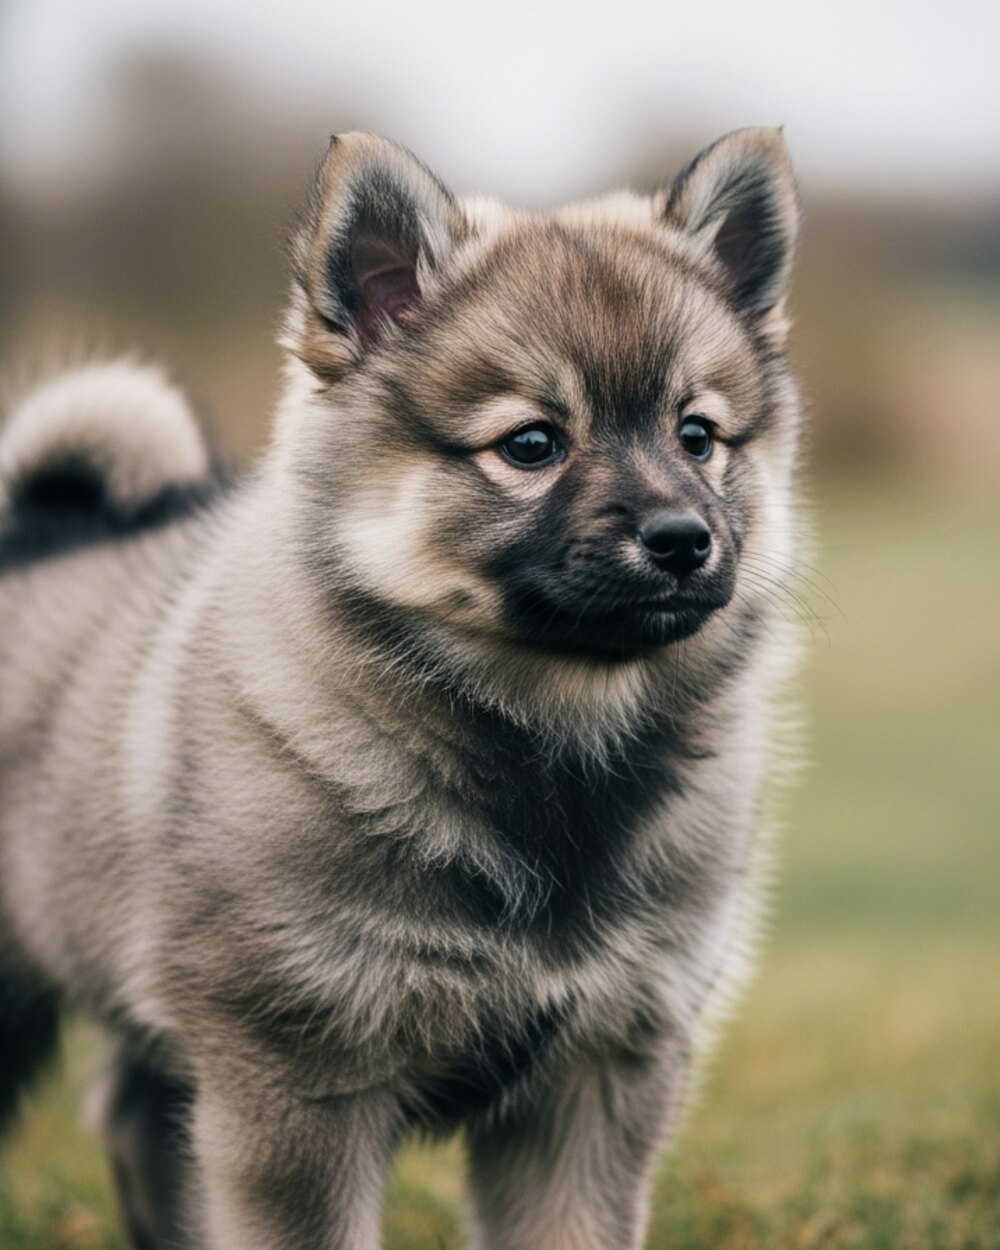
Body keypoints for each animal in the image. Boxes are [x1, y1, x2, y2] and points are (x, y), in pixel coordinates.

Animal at [0, 127, 803, 1249]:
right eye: (531, 444)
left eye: (697, 435)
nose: (685, 539)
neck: (548, 744)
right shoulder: (296, 1077)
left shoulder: (600, 1075)